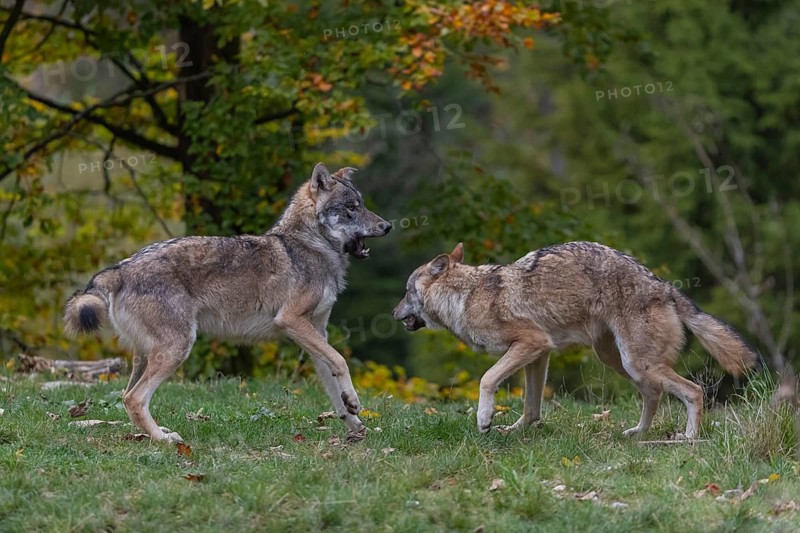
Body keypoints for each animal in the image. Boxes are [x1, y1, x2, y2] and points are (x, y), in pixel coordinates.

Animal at [64, 163, 391, 443]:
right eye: (351, 207)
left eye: (362, 204)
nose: (388, 226)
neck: (313, 246)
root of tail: (120, 268)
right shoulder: (292, 321)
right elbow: (342, 361)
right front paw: (355, 402)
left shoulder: (316, 333)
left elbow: (334, 386)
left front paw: (356, 425)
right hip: (177, 348)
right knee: (134, 398)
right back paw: (165, 440)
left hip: (146, 354)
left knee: (125, 396)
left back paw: (157, 432)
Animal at [393, 241, 758, 440]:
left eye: (406, 291)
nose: (393, 312)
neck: (466, 297)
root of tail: (664, 286)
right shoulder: (539, 353)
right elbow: (531, 407)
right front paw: (515, 431)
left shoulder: (531, 343)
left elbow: (486, 379)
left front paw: (485, 420)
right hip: (623, 363)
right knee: (654, 396)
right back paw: (638, 433)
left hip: (637, 364)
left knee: (693, 391)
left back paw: (688, 438)